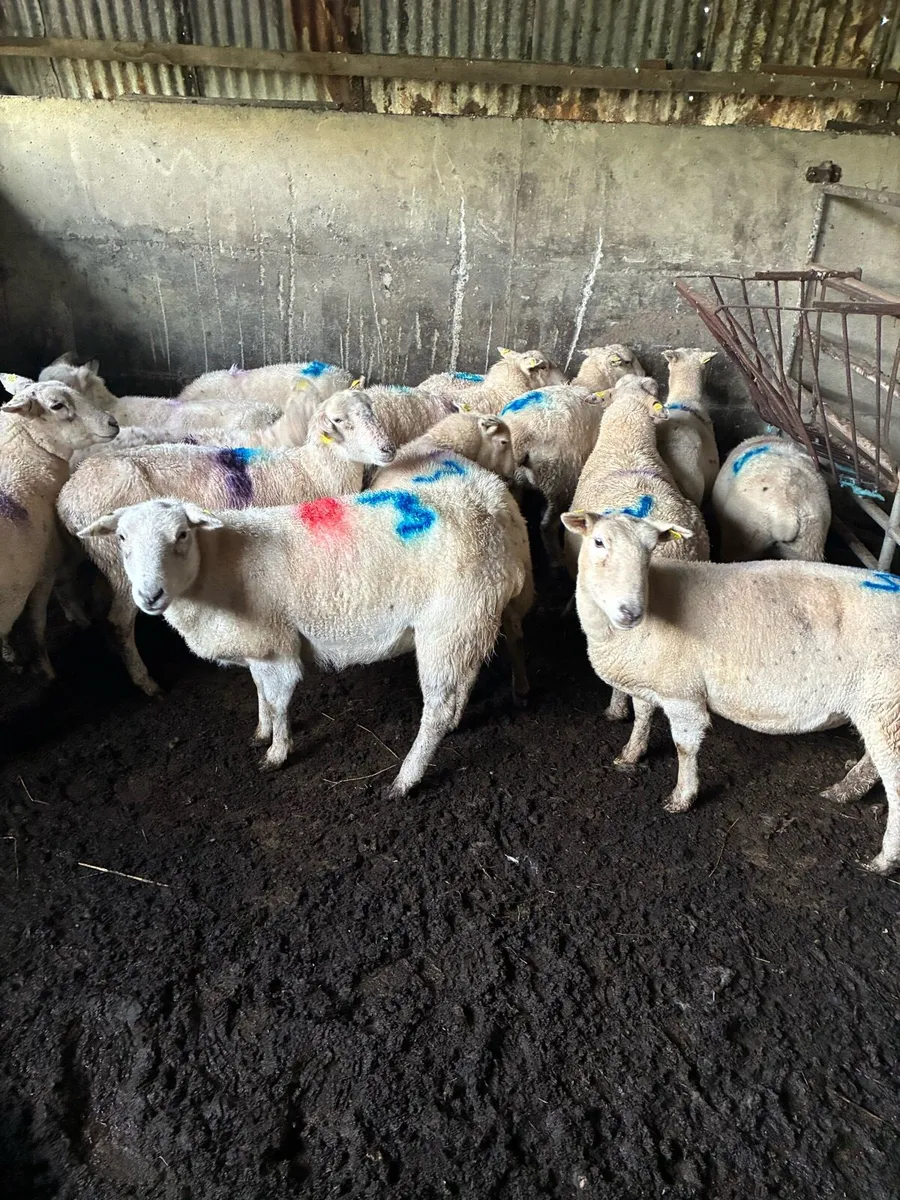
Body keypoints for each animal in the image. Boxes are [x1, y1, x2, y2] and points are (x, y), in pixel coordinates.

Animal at [0, 379, 118, 677]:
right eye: (57, 406)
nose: (112, 423)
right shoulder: (45, 568)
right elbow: (37, 624)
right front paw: (46, 670)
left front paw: (10, 655)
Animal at [57, 395, 396, 696]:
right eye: (340, 421)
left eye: (373, 411)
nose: (388, 449)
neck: (312, 470)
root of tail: (67, 497)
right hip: (123, 567)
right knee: (119, 622)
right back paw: (146, 682)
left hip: (104, 563)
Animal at [78, 459, 532, 793]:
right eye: (121, 538)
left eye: (182, 535)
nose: (149, 595)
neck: (216, 568)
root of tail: (492, 498)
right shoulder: (259, 647)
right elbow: (261, 695)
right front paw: (260, 732)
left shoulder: (276, 646)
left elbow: (279, 703)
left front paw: (276, 754)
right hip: (476, 618)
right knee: (486, 660)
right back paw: (482, 707)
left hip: (447, 623)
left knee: (436, 708)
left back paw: (406, 779)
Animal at [562, 507, 900, 874]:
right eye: (598, 542)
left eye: (650, 550)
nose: (630, 612)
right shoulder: (649, 679)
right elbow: (642, 717)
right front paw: (630, 754)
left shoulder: (683, 693)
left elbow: (684, 747)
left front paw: (683, 797)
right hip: (882, 710)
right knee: (874, 763)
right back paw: (845, 790)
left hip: (886, 707)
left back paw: (883, 860)